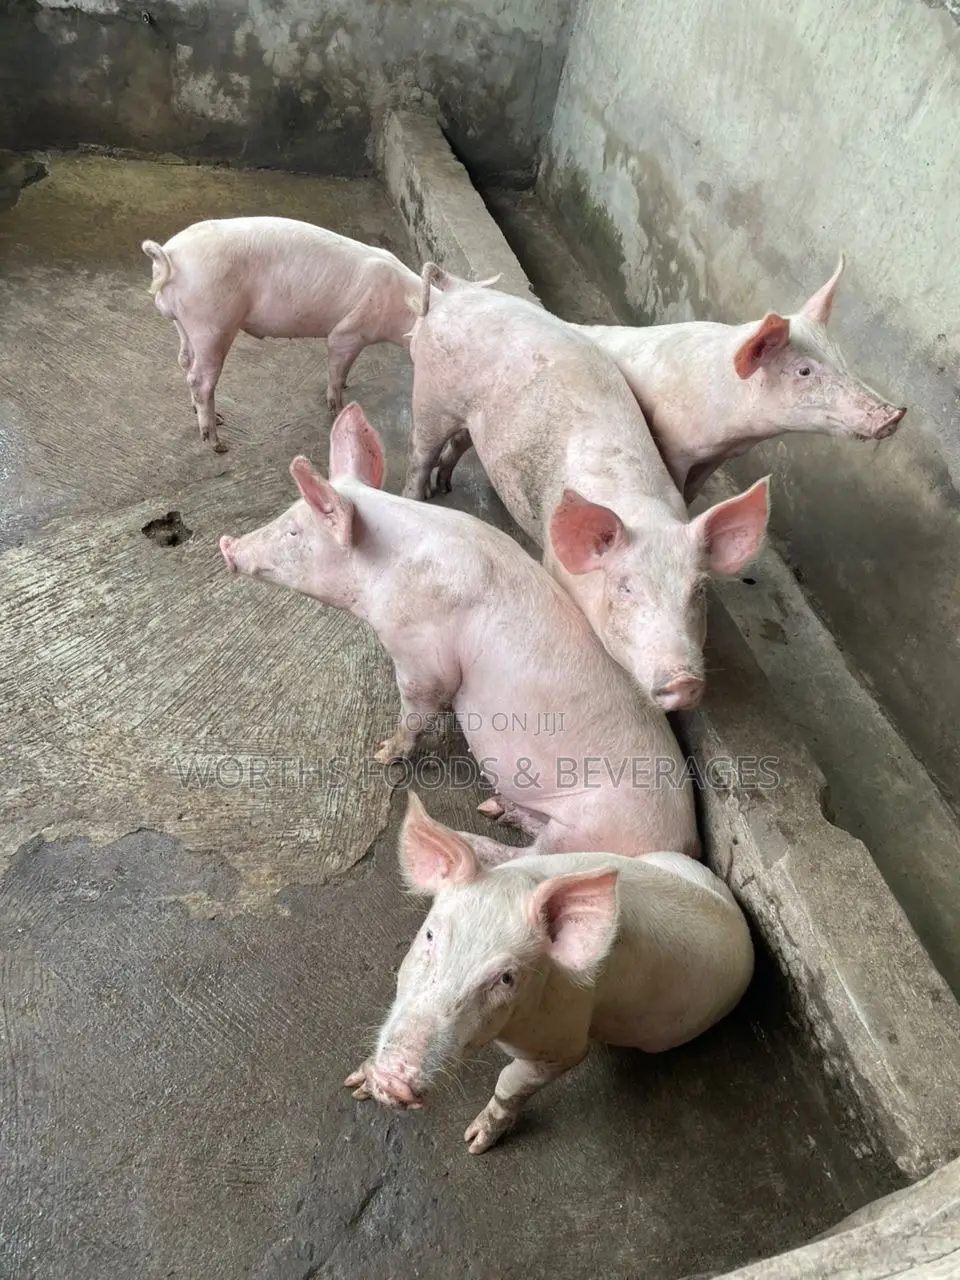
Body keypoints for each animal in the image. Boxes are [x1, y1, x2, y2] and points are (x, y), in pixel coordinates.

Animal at [141, 217, 425, 452]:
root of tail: (169, 255)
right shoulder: (348, 332)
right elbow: (337, 369)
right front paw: (338, 408)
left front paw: (346, 386)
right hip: (211, 322)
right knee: (199, 379)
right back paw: (217, 443)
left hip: (184, 322)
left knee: (184, 361)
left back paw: (213, 417)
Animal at [219, 402, 699, 858]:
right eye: (287, 515)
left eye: (294, 532)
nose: (227, 546)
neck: (381, 569)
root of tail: (685, 843)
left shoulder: (419, 649)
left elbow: (420, 704)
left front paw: (382, 753)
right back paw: (497, 808)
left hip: (592, 827)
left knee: (526, 858)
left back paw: (465, 835)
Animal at [345, 793, 754, 1154]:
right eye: (430, 935)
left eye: (506, 978)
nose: (394, 1082)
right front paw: (357, 1086)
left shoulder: (564, 1040)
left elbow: (510, 1084)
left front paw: (475, 1144)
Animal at [403, 266, 770, 711]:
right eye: (625, 587)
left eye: (698, 591)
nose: (684, 682)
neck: (641, 510)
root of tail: (455, 291)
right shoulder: (552, 561)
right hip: (429, 396)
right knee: (420, 453)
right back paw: (419, 497)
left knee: (458, 443)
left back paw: (443, 487)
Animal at [570, 255, 907, 501]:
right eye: (804, 370)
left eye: (840, 357)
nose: (896, 413)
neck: (737, 429)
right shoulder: (673, 443)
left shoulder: (722, 455)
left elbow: (694, 490)